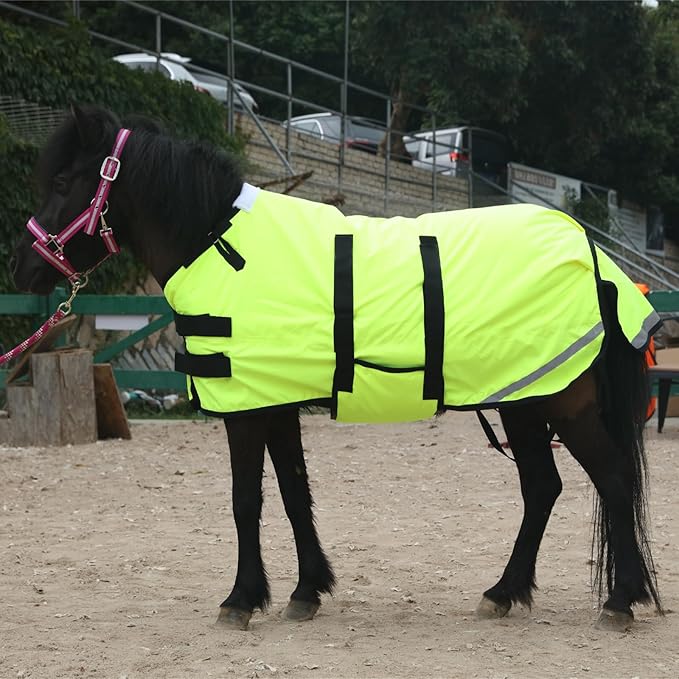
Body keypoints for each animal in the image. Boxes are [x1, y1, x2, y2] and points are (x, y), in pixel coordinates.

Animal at [10, 104, 663, 633]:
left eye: (64, 181)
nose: (22, 267)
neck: (219, 243)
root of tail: (591, 251)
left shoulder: (245, 408)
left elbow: (246, 500)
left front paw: (241, 600)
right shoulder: (273, 402)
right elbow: (294, 494)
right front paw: (306, 591)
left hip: (562, 402)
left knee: (612, 479)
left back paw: (620, 601)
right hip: (523, 399)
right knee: (543, 488)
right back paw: (504, 593)